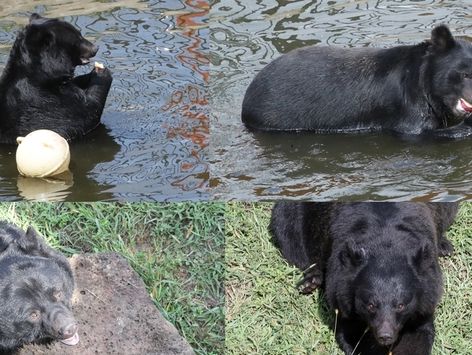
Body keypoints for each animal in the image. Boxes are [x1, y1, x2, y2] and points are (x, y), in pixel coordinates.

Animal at [0, 13, 112, 145]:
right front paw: (101, 74)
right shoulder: (46, 103)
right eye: (78, 37)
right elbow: (85, 114)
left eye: (79, 33)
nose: (96, 48)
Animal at [272, 203, 460, 355]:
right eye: (370, 305)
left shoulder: (426, 295)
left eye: (401, 305)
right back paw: (310, 282)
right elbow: (351, 333)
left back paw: (444, 246)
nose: (385, 336)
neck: (386, 244)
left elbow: (418, 334)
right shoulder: (341, 289)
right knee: (291, 240)